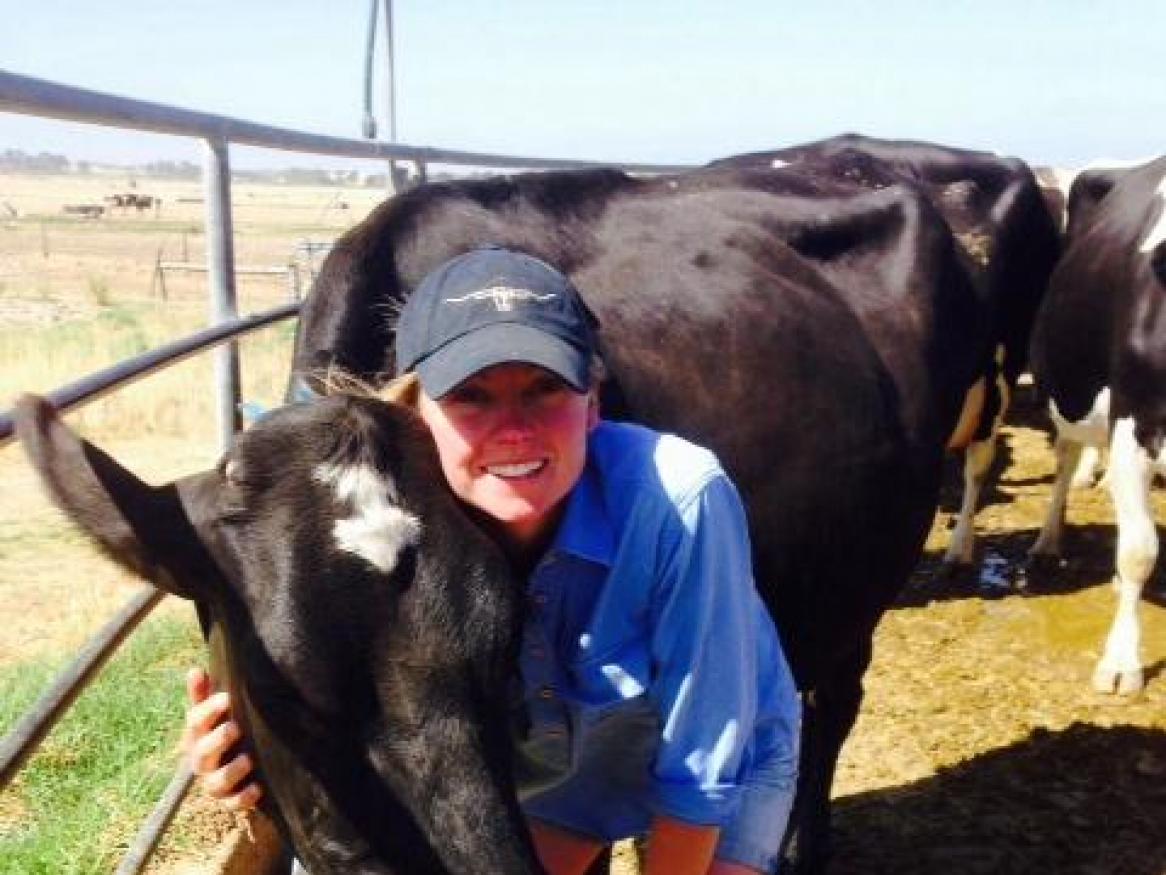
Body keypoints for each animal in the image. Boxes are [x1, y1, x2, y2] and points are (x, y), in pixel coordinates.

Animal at [1030, 154, 1166, 695]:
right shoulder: (1133, 423)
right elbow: (1138, 550)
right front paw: (1122, 660)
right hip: (1067, 392)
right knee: (1066, 461)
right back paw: (1048, 542)